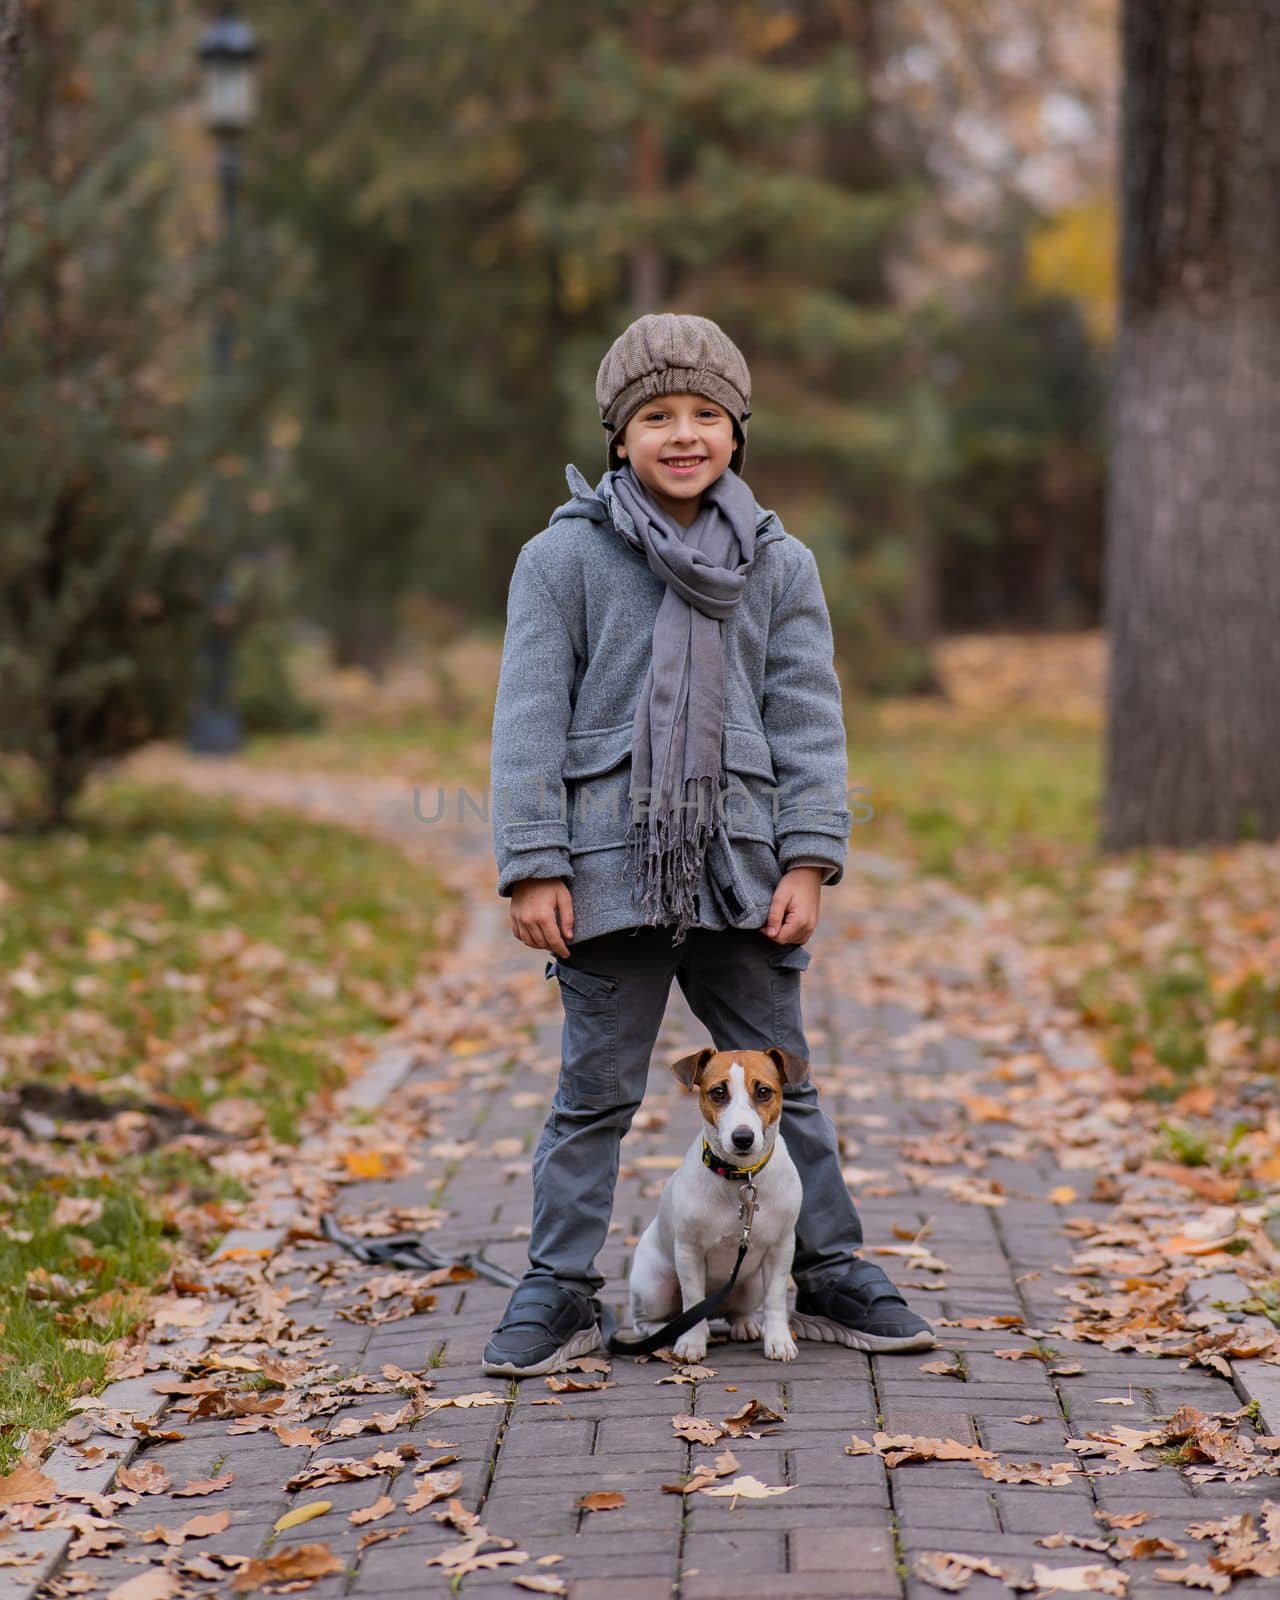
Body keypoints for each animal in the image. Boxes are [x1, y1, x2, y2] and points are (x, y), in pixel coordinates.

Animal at [624, 1049, 806, 1363]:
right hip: (654, 1287)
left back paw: (745, 1324)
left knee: (736, 1311)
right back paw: (662, 1333)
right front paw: (691, 1343)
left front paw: (779, 1340)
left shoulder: (781, 1248)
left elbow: (775, 1299)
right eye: (718, 1092)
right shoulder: (689, 1251)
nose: (742, 1138)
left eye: (764, 1092)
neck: (741, 1177)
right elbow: (692, 1298)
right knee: (650, 1319)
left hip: (750, 1286)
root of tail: (716, 1310)